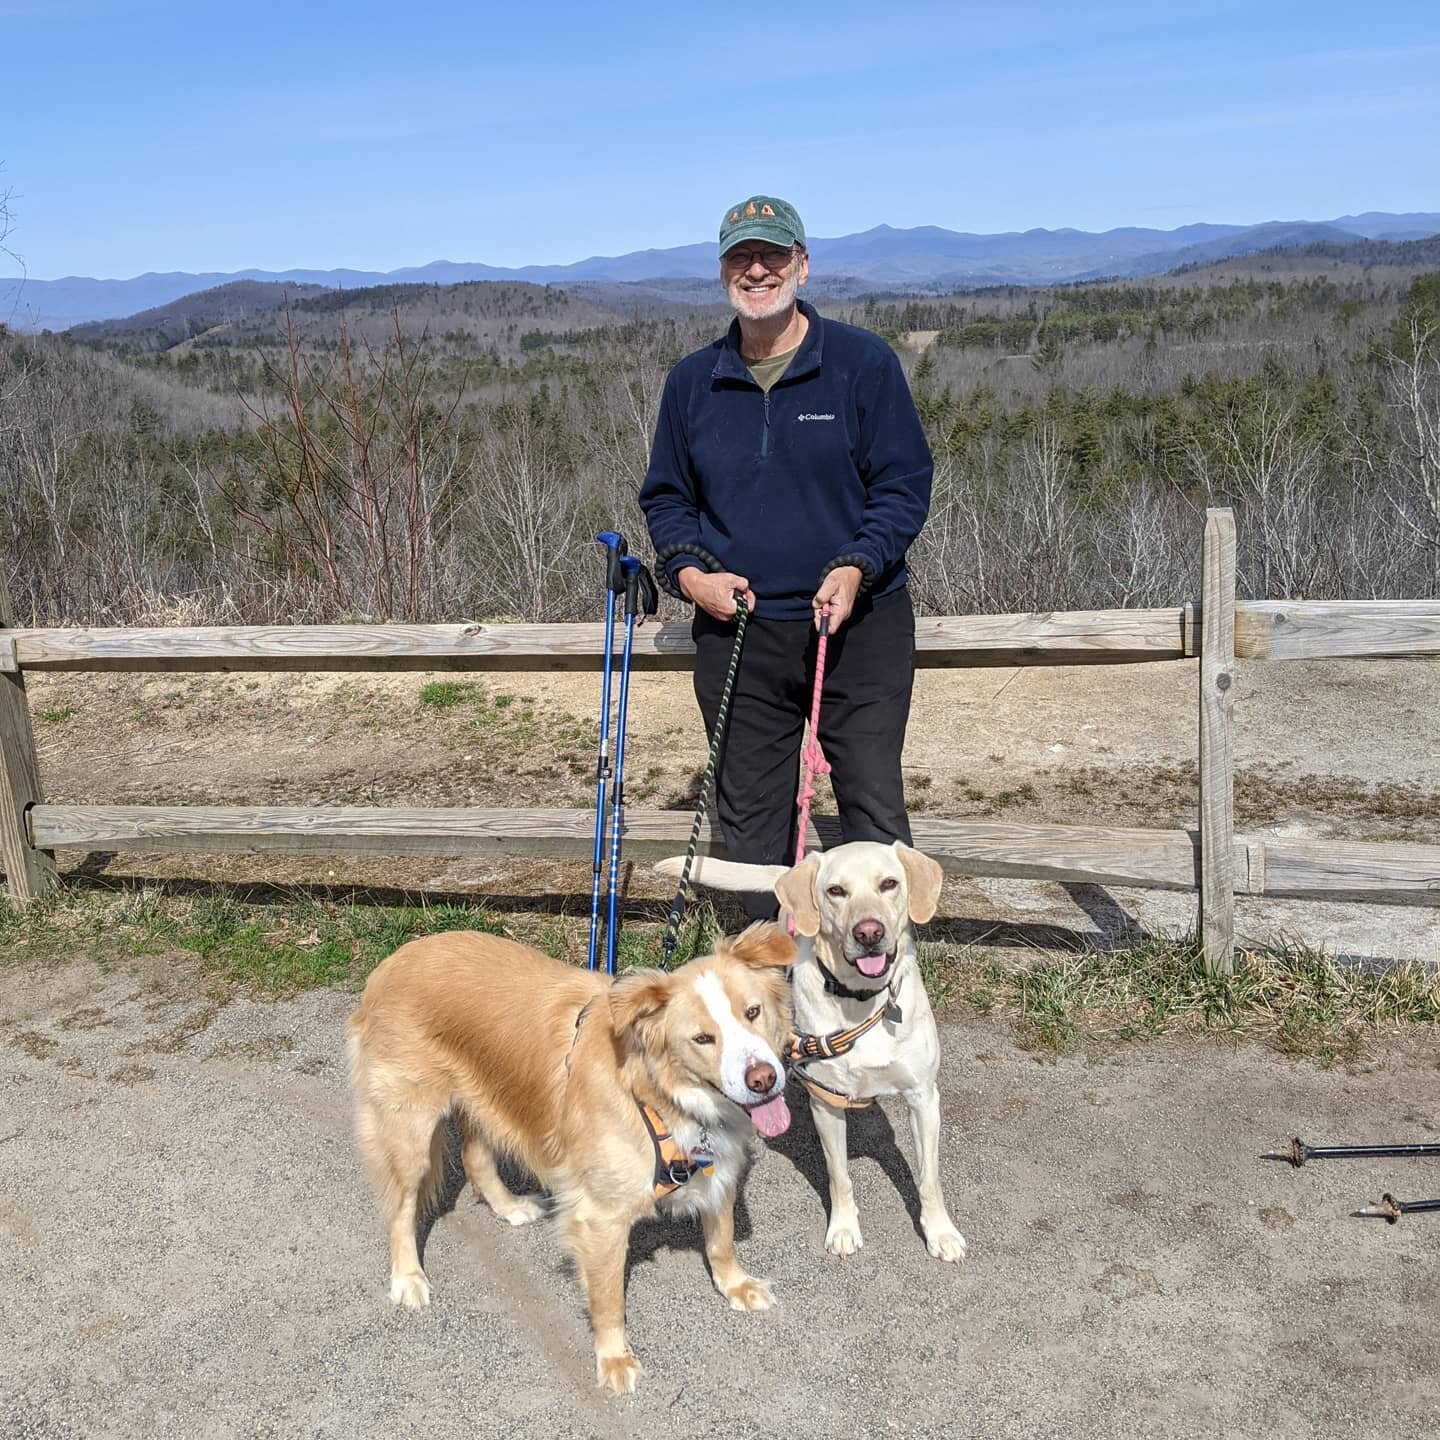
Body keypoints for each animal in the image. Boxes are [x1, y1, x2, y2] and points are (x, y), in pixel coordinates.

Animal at [348, 921, 800, 1393]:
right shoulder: (600, 1217)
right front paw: (614, 1357)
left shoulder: (718, 1167)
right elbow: (608, 1297)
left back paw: (508, 1206)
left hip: (486, 1100)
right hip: (408, 1129)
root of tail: (395, 959)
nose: (763, 1079)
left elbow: (721, 1239)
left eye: (753, 1012)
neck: (658, 1092)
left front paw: (736, 1285)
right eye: (702, 1039)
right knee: (401, 1206)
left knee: (475, 1157)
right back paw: (407, 1277)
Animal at [659, 840, 961, 1267]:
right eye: (836, 891)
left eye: (889, 884)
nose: (869, 932)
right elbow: (839, 1176)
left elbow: (928, 1177)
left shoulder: (923, 1098)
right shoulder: (827, 1102)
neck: (860, 998)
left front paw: (940, 1232)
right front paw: (844, 1229)